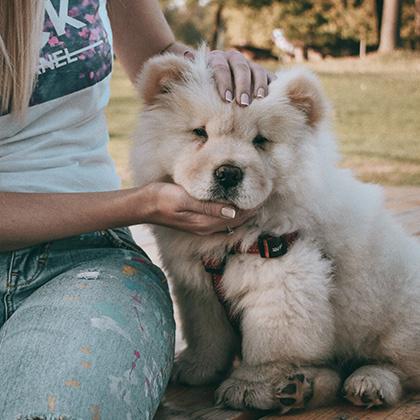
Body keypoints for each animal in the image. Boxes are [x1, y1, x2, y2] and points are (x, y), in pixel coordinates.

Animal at [131, 50, 420, 414]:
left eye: (260, 141)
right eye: (200, 133)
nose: (228, 172)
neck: (231, 236)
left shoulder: (283, 275)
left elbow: (269, 345)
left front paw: (249, 387)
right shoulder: (199, 289)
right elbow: (206, 333)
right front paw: (197, 368)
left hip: (397, 315)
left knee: (399, 368)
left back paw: (368, 383)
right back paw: (302, 388)